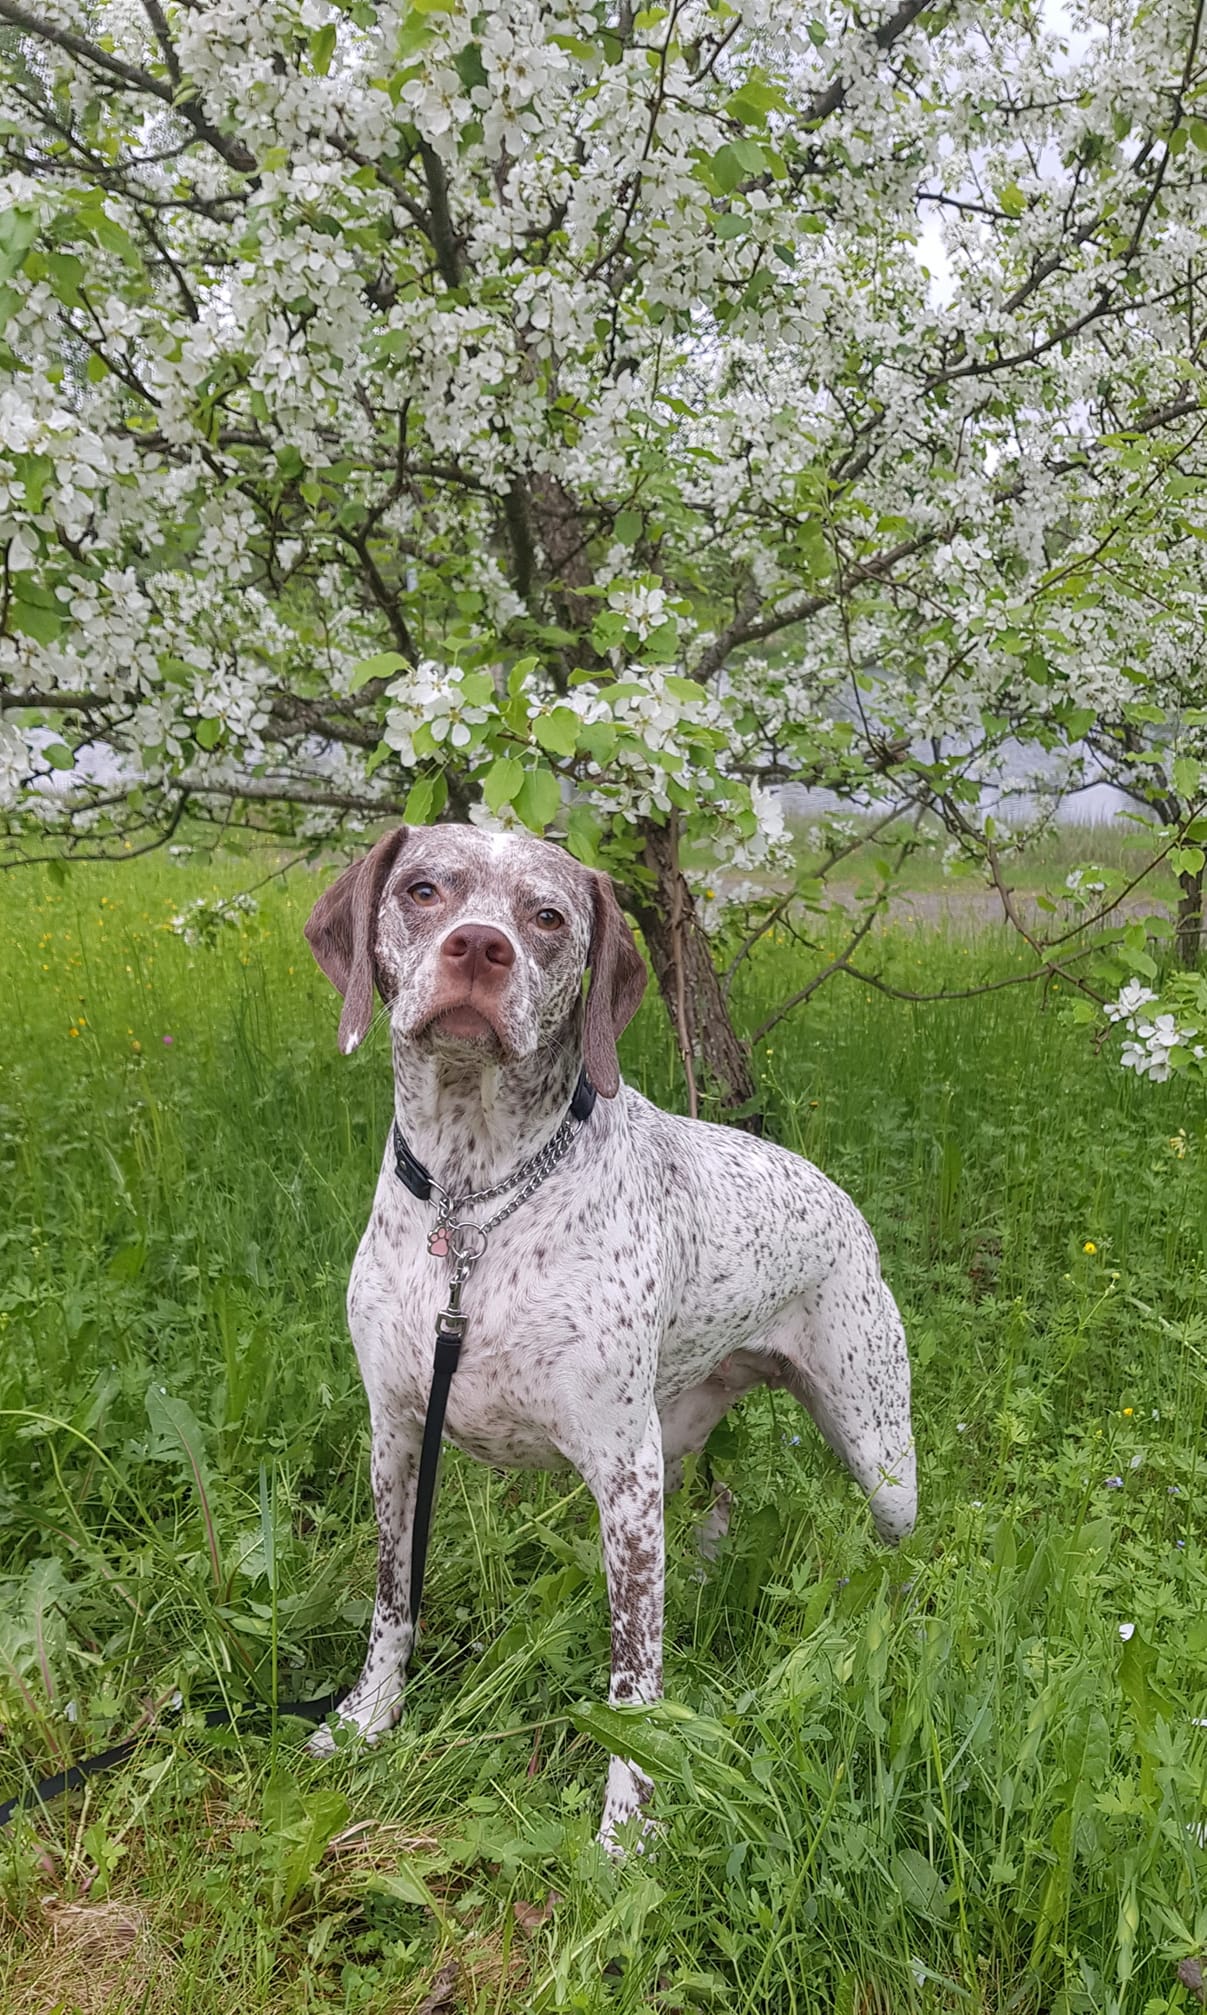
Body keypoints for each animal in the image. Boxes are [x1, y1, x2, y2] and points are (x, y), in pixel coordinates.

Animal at [302, 818, 914, 1845]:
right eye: (425, 889)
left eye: (548, 916)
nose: (480, 947)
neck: (474, 1200)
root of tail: (839, 1199)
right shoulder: (397, 1437)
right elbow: (394, 1600)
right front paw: (367, 1718)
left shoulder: (622, 1475)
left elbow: (634, 1678)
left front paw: (627, 1823)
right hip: (678, 1439)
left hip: (875, 1450)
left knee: (895, 1546)